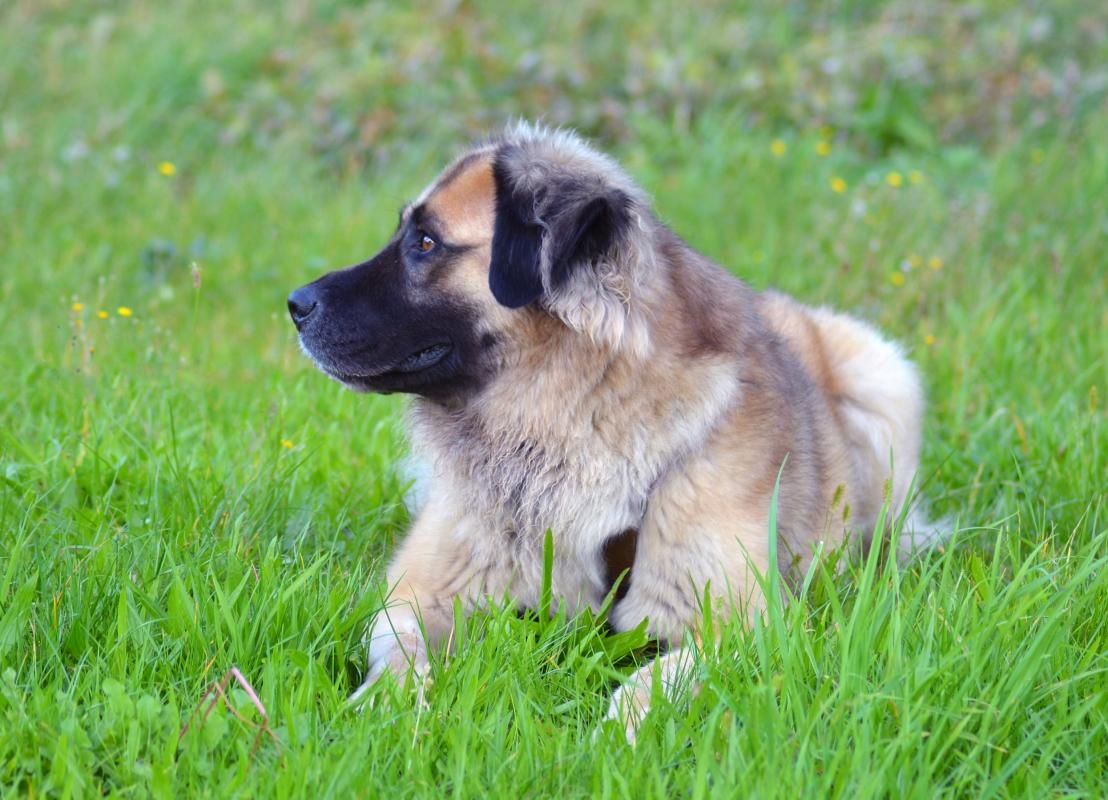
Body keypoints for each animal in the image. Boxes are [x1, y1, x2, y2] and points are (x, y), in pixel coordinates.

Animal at [288, 122, 936, 741]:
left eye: (425, 243)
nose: (296, 303)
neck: (571, 411)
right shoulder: (422, 590)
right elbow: (402, 656)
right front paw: (381, 712)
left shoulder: (734, 621)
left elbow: (649, 682)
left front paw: (617, 738)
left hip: (882, 379)